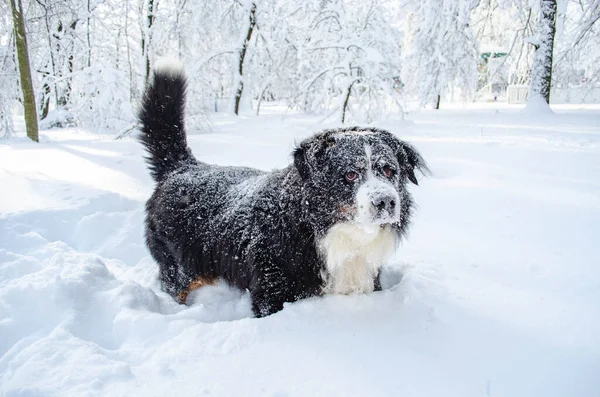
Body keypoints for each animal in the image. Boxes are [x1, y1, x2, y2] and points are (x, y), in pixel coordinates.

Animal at [139, 61, 432, 316]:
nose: (386, 201)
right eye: (350, 174)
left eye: (389, 171)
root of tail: (182, 167)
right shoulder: (272, 293)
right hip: (179, 267)